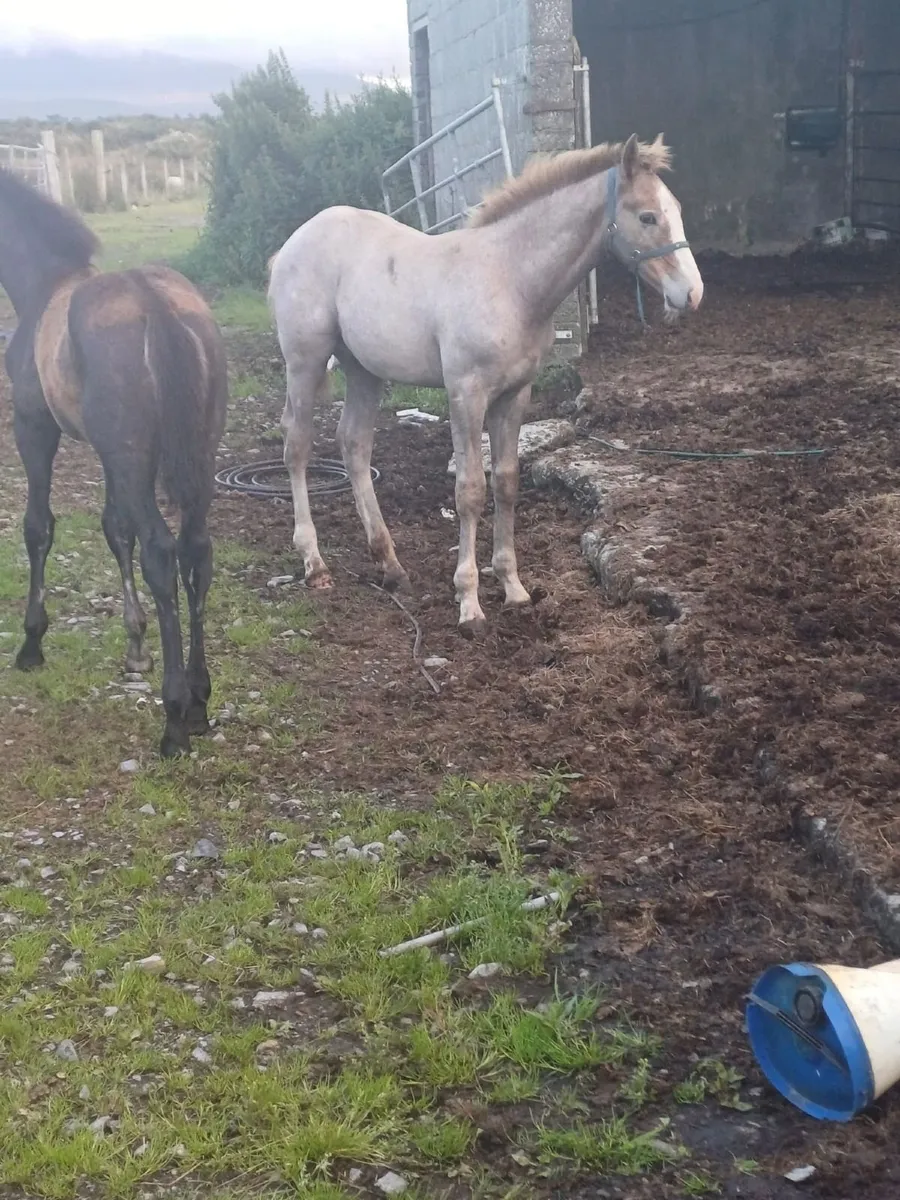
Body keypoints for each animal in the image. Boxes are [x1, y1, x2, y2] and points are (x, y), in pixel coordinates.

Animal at [0, 167, 228, 757]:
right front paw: (135, 646)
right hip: (190, 455)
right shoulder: (113, 457)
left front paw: (31, 644)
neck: (44, 284)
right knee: (196, 551)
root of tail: (156, 304)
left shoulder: (34, 427)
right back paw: (199, 700)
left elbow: (38, 527)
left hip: (129, 456)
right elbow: (114, 529)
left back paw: (174, 720)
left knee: (162, 552)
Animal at [267, 133, 704, 637]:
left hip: (363, 369)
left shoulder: (515, 396)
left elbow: (507, 483)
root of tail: (292, 243)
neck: (510, 279)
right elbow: (470, 491)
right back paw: (314, 563)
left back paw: (390, 564)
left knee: (353, 445)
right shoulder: (466, 393)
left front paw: (513, 588)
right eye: (648, 216)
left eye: (677, 208)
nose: (692, 293)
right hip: (306, 361)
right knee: (296, 444)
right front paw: (469, 603)